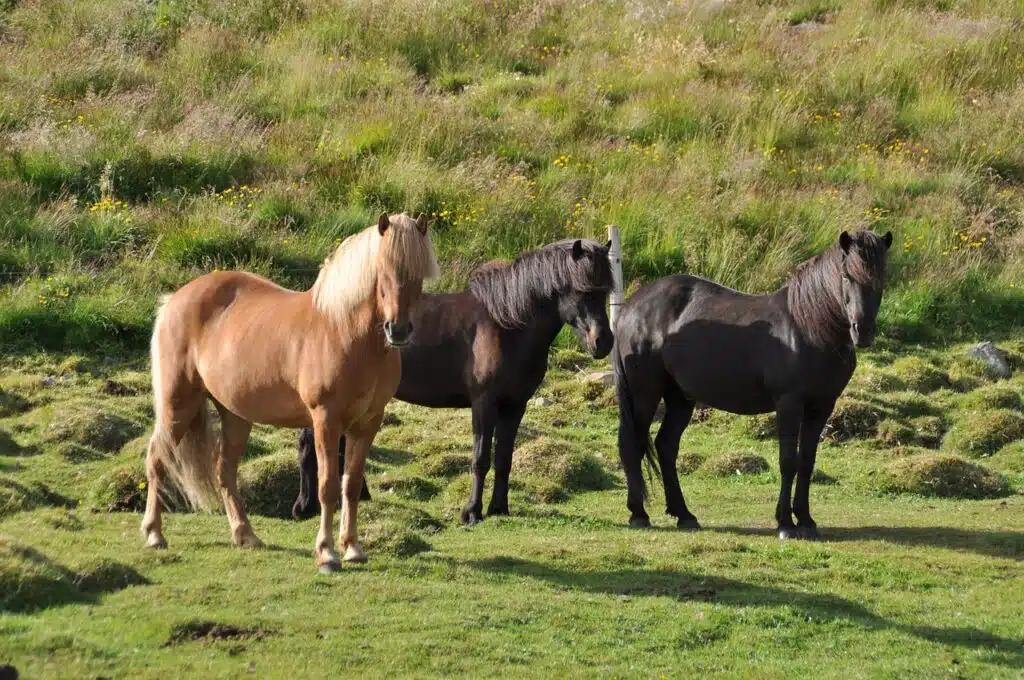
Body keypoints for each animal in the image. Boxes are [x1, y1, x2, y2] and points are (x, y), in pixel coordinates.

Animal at [140, 213, 439, 573]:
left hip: (235, 415)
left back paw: (246, 535)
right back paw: (154, 535)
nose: (398, 330)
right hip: (177, 405)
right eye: (383, 270)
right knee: (157, 458)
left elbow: (351, 485)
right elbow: (327, 486)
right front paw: (327, 554)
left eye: (419, 274)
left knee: (224, 470)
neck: (344, 331)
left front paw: (353, 548)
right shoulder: (325, 420)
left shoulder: (367, 423)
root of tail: (174, 300)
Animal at [292, 239, 615, 525]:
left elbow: (504, 459)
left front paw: (499, 508)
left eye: (606, 291)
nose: (603, 343)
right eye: (582, 290)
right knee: (313, 443)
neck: (507, 325)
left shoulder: (515, 406)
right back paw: (306, 505)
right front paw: (471, 512)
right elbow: (481, 458)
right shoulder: (484, 403)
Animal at [613, 229, 891, 539]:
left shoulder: (821, 406)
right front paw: (785, 523)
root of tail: (632, 307)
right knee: (631, 443)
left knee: (666, 446)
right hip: (644, 394)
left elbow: (807, 462)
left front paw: (806, 520)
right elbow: (788, 461)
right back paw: (639, 514)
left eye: (881, 276)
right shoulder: (789, 404)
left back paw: (684, 515)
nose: (863, 331)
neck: (809, 327)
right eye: (846, 276)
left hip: (680, 397)